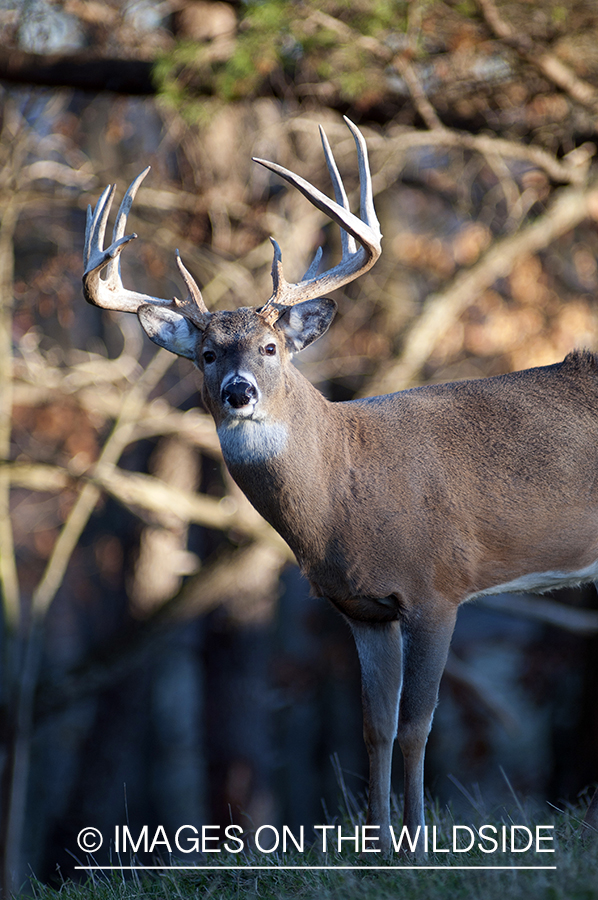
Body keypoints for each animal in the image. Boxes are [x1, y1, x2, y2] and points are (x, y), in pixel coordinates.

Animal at [83, 118, 598, 852]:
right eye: (207, 354)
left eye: (271, 348)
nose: (237, 392)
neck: (346, 490)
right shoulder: (361, 609)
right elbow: (374, 728)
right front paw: (379, 848)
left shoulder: (438, 586)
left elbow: (416, 727)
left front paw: (417, 846)